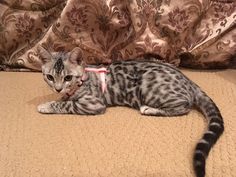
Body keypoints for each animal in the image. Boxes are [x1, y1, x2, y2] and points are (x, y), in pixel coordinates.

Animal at [37, 46, 225, 177]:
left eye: (68, 77)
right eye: (50, 77)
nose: (58, 88)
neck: (83, 77)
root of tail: (188, 80)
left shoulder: (93, 104)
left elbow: (66, 105)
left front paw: (46, 105)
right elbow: (65, 99)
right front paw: (60, 97)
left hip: (151, 88)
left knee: (184, 106)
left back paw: (150, 109)